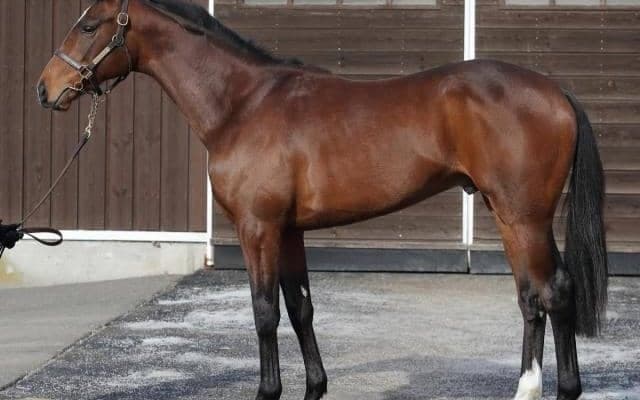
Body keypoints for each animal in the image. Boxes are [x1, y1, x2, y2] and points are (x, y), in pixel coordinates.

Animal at [37, 0, 608, 399]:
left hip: (521, 217)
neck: (242, 105)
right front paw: (314, 386)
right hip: (513, 216)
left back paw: (536, 388)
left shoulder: (258, 228)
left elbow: (265, 311)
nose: (46, 89)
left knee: (547, 293)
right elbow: (300, 308)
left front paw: (268, 390)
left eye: (89, 26)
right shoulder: (289, 231)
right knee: (546, 293)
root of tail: (556, 91)